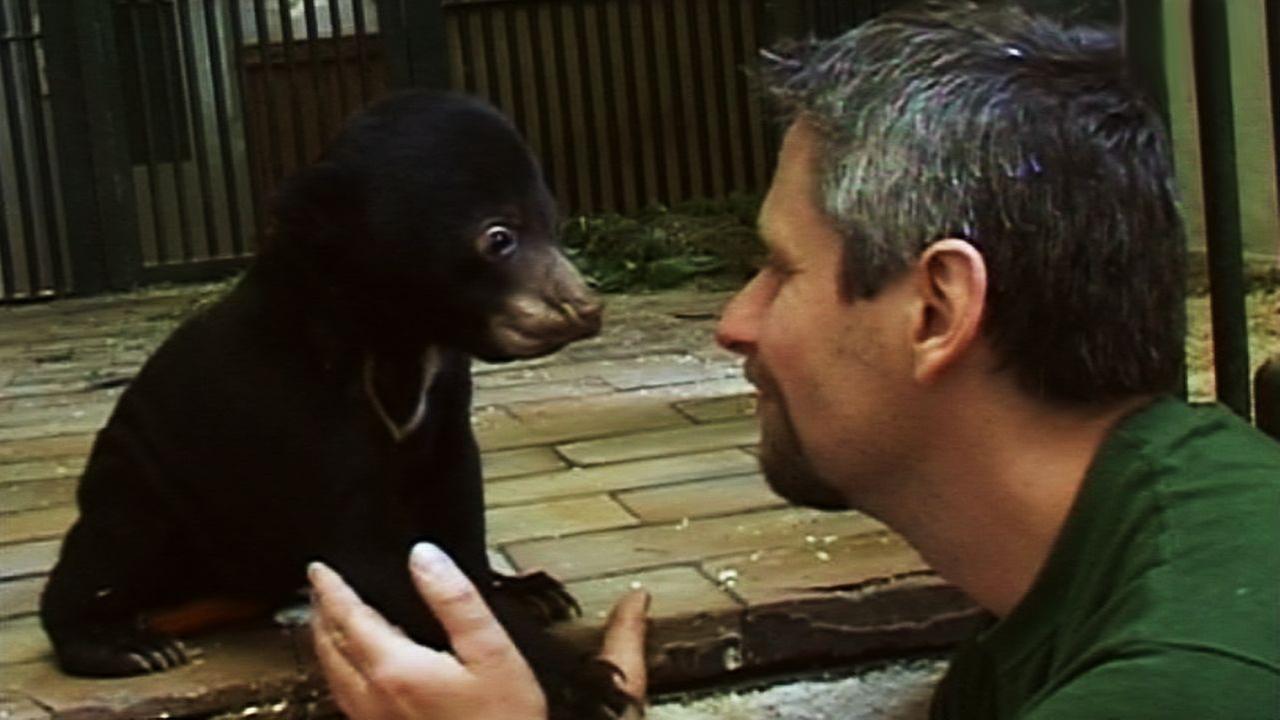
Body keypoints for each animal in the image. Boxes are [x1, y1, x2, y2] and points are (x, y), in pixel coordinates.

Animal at [40, 90, 632, 719]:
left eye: (554, 224)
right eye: (499, 237)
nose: (585, 308)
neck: (393, 336)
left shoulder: (446, 398)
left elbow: (455, 505)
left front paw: (522, 593)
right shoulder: (295, 404)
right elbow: (360, 547)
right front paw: (586, 682)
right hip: (145, 495)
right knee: (106, 554)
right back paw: (124, 645)